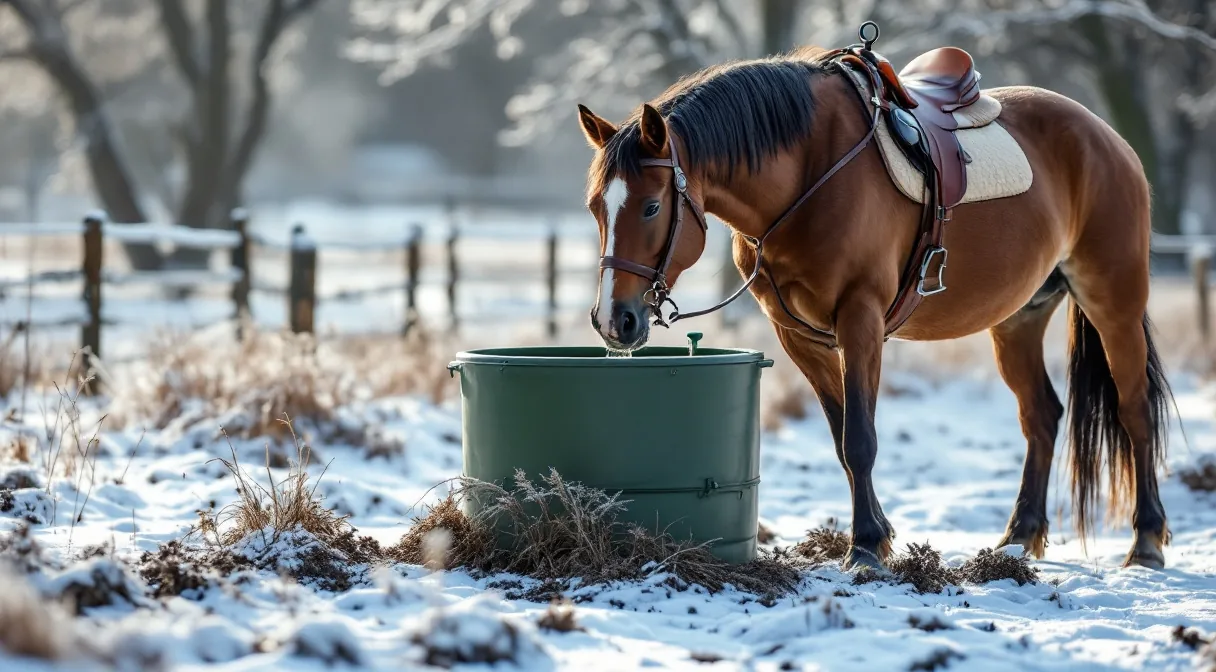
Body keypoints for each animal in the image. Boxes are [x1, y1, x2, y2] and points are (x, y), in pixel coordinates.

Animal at [575, 31, 1174, 571]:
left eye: (652, 207)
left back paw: (1145, 541)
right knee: (1042, 416)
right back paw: (1019, 537)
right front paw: (879, 535)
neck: (810, 170)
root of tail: (1107, 137)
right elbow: (843, 439)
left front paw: (864, 546)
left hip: (1113, 302)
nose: (613, 320)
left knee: (1134, 411)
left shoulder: (860, 321)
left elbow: (861, 438)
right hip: (1017, 320)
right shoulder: (799, 337)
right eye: (596, 207)